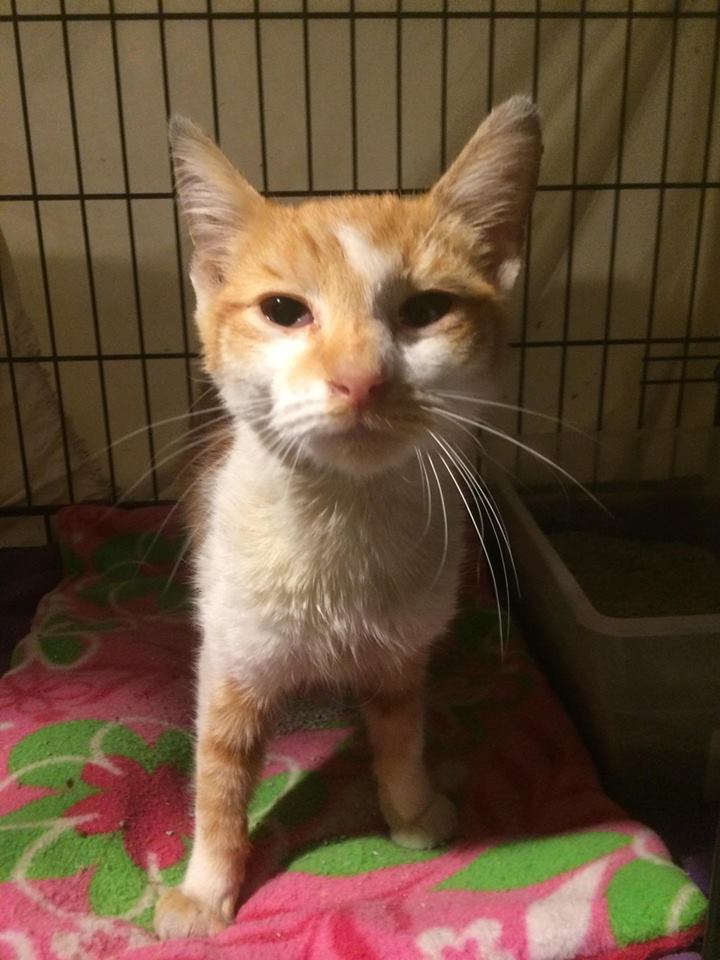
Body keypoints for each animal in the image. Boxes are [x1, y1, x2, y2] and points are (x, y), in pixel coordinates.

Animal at [155, 95, 544, 936]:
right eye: (282, 311)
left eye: (427, 309)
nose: (360, 379)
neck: (340, 522)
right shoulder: (229, 654)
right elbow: (219, 773)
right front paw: (205, 889)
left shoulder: (402, 651)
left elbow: (401, 733)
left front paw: (411, 807)